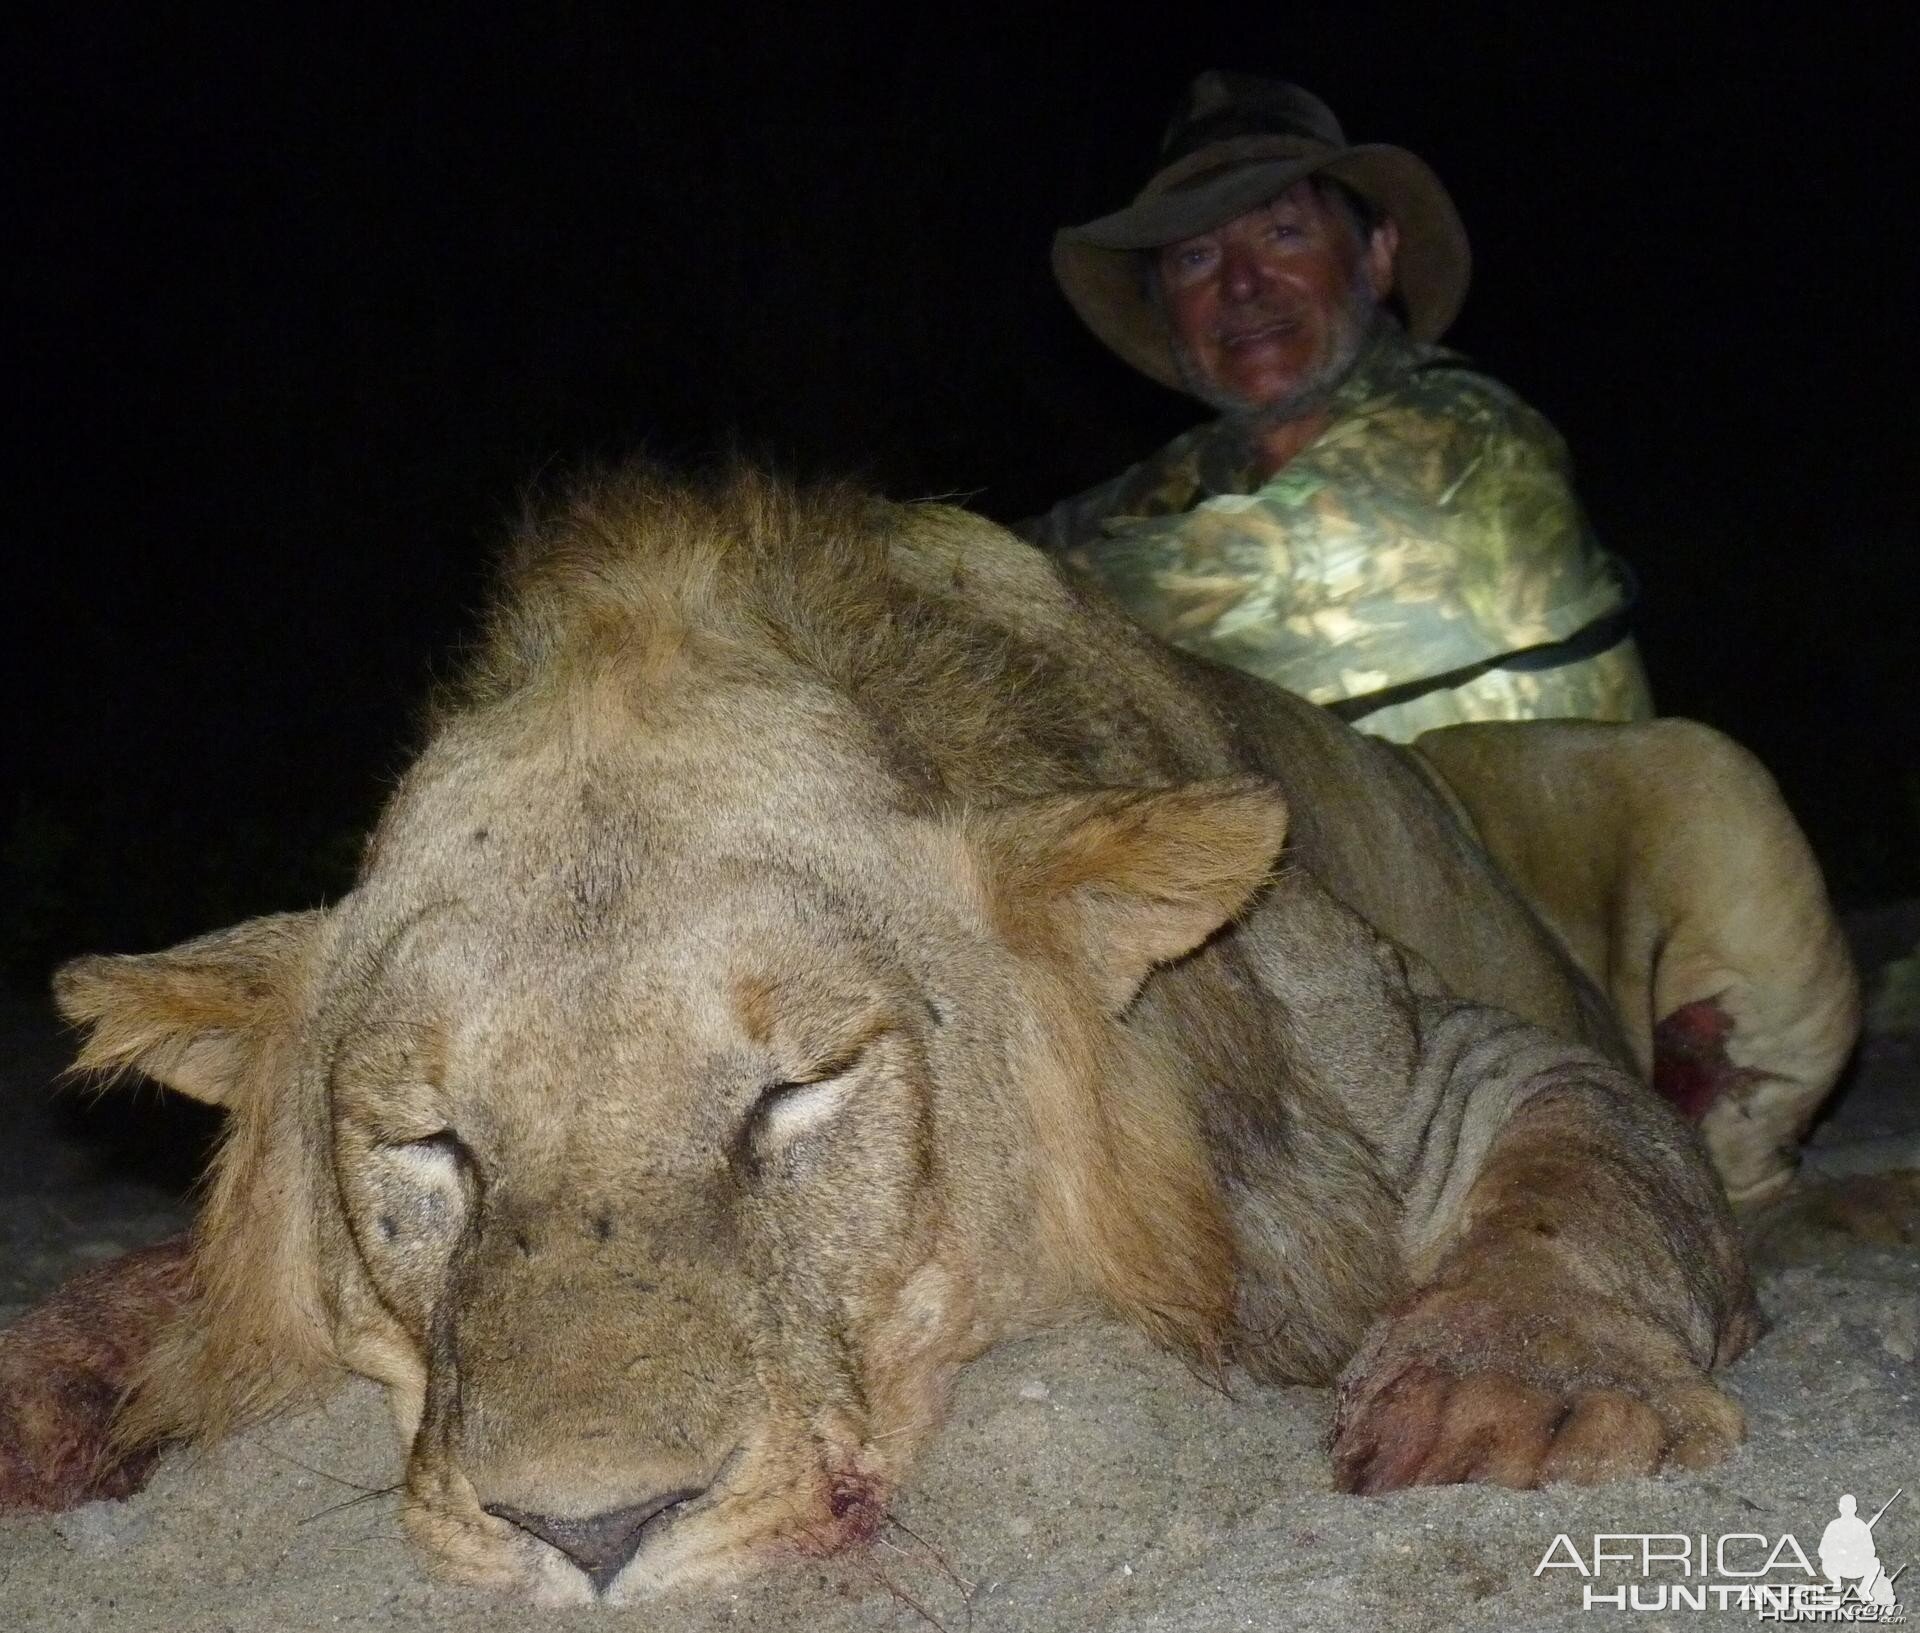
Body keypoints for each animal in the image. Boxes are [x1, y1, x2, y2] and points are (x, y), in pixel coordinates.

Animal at [3, 470, 1858, 1596]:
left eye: (799, 1090)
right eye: (432, 1146)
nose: (588, 1534)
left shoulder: (1441, 1069)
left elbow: (1590, 1170)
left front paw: (1513, 1398)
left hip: (1715, 774)